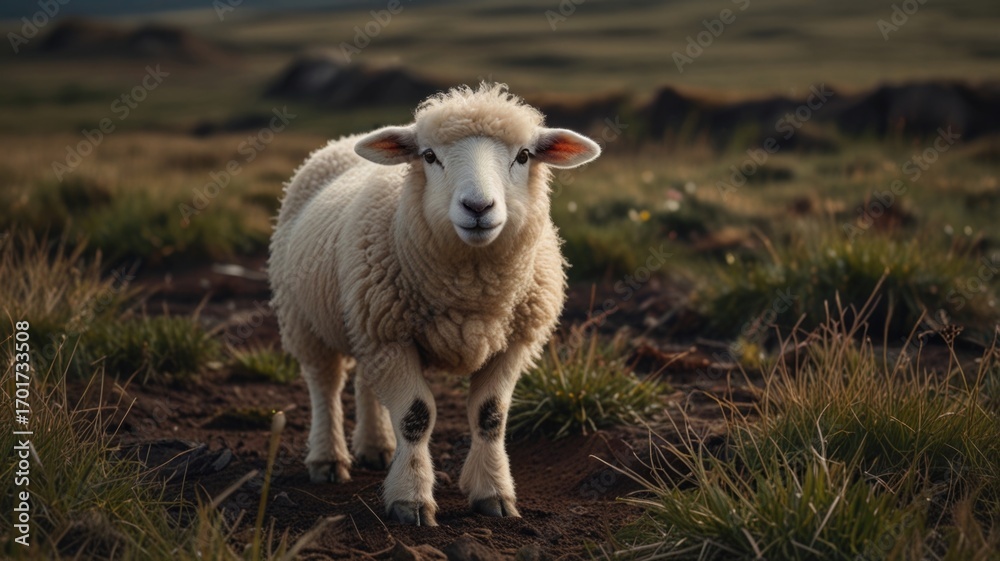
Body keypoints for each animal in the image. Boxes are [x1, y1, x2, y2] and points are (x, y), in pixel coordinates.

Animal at [268, 82, 601, 526]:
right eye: (429, 156)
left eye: (524, 156)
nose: (478, 208)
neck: (471, 292)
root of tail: (342, 142)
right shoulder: (392, 339)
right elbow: (415, 416)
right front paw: (410, 500)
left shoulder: (513, 343)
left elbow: (491, 416)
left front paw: (494, 494)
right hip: (305, 319)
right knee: (325, 384)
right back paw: (327, 459)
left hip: (366, 320)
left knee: (365, 382)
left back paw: (376, 447)